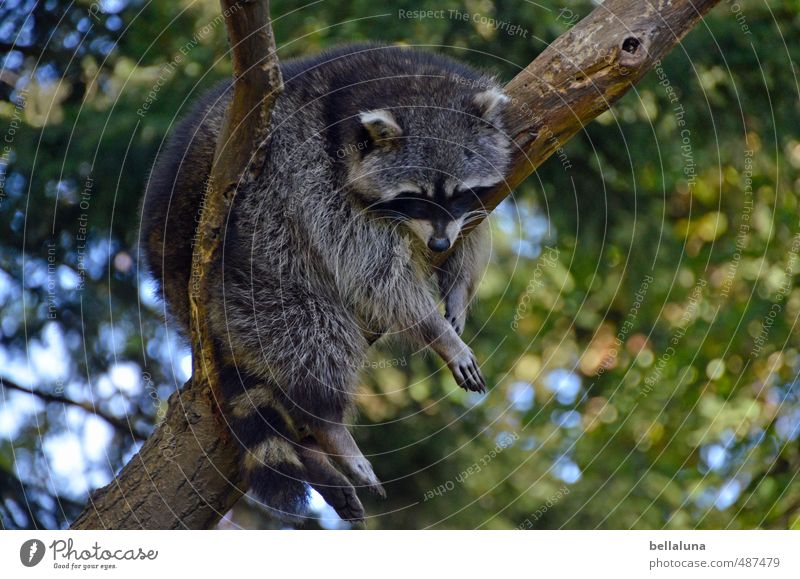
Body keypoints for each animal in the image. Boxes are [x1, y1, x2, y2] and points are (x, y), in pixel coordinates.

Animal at [140, 43, 510, 524]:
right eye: (416, 197)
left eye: (458, 193)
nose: (438, 242)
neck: (397, 79)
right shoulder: (311, 172)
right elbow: (374, 276)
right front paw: (438, 333)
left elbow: (473, 233)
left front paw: (458, 294)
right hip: (242, 244)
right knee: (304, 325)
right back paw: (329, 426)